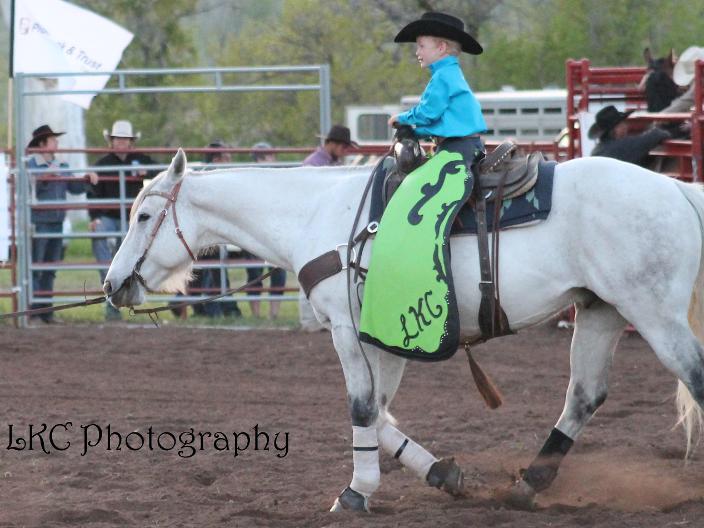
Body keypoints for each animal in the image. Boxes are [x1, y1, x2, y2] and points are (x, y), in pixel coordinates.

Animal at [102, 148, 704, 512]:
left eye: (142, 217)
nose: (111, 284)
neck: (321, 215)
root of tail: (675, 188)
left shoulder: (348, 331)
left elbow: (362, 407)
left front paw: (355, 493)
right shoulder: (381, 340)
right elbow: (381, 413)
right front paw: (442, 474)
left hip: (652, 312)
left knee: (692, 378)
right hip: (601, 311)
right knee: (584, 396)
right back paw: (526, 485)